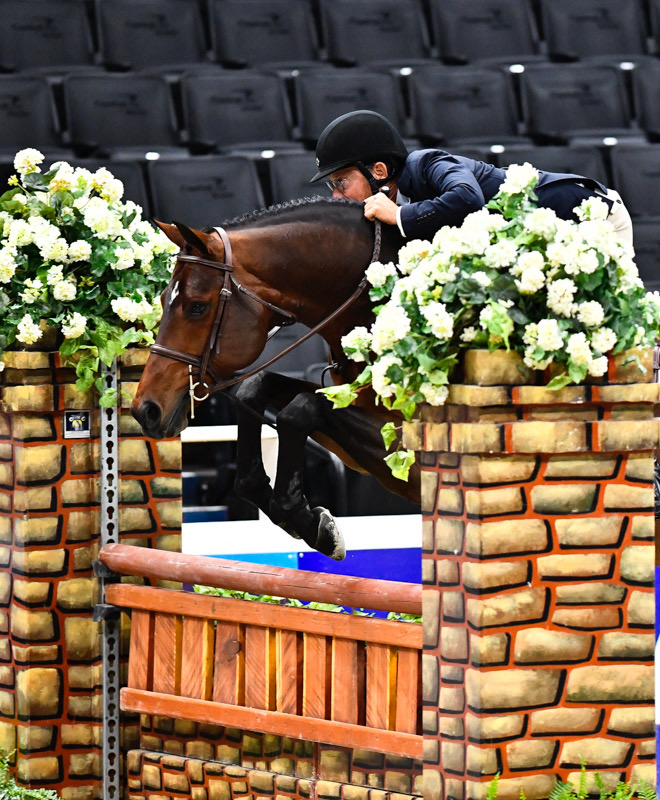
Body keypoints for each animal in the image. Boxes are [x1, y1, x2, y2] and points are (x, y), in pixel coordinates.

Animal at [131, 198, 420, 564]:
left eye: (197, 307)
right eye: (163, 299)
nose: (145, 409)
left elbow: (300, 410)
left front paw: (315, 524)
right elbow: (258, 389)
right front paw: (303, 518)